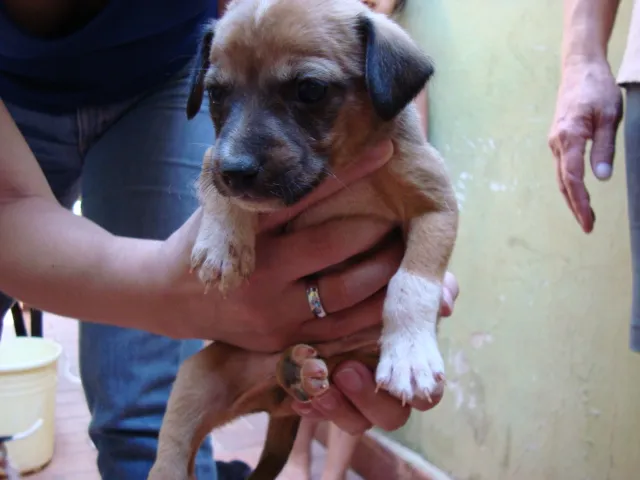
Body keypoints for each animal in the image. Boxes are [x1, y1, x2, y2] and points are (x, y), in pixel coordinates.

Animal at [149, 0, 460, 478]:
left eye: (310, 90)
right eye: (216, 94)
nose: (236, 171)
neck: (340, 171)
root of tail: (280, 405)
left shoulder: (436, 206)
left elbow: (411, 285)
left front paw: (410, 355)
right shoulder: (214, 156)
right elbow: (212, 182)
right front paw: (223, 244)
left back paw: (297, 370)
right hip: (195, 381)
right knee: (169, 456)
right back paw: (293, 369)